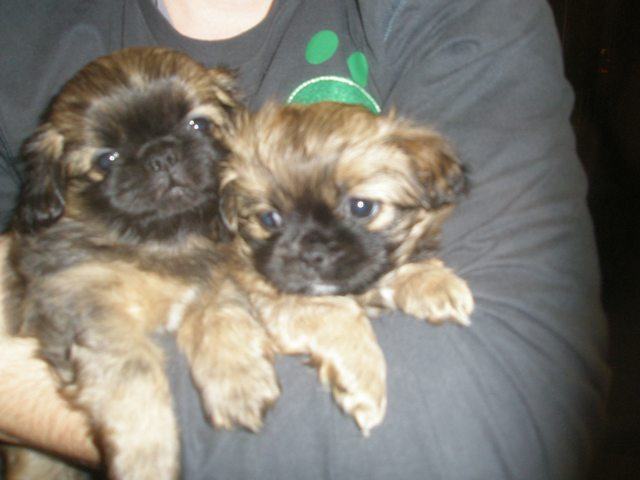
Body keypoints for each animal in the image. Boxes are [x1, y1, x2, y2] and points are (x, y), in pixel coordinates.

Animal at [1, 47, 263, 479]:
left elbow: (223, 314)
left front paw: (238, 379)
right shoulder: (87, 307)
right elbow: (133, 372)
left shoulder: (217, 278)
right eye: (107, 160)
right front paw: (147, 457)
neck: (162, 239)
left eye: (197, 124)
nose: (161, 154)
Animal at [195, 102, 475, 435]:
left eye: (361, 207)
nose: (312, 252)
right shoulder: (279, 298)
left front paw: (433, 283)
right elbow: (339, 314)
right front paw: (363, 382)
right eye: (269, 219)